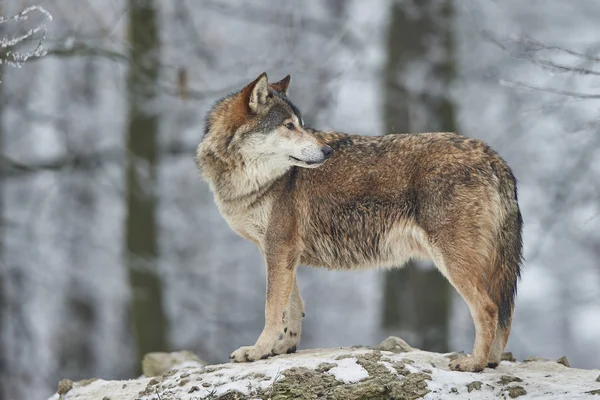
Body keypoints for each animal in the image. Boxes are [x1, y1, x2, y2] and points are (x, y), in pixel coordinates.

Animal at [195, 72, 524, 372]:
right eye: (289, 126)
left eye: (300, 124)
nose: (327, 151)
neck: (254, 181)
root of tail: (495, 158)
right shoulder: (282, 252)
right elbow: (293, 307)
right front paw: (283, 348)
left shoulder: (279, 247)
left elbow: (272, 309)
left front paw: (256, 351)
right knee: (504, 312)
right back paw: (491, 361)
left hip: (452, 260)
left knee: (488, 308)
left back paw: (474, 363)